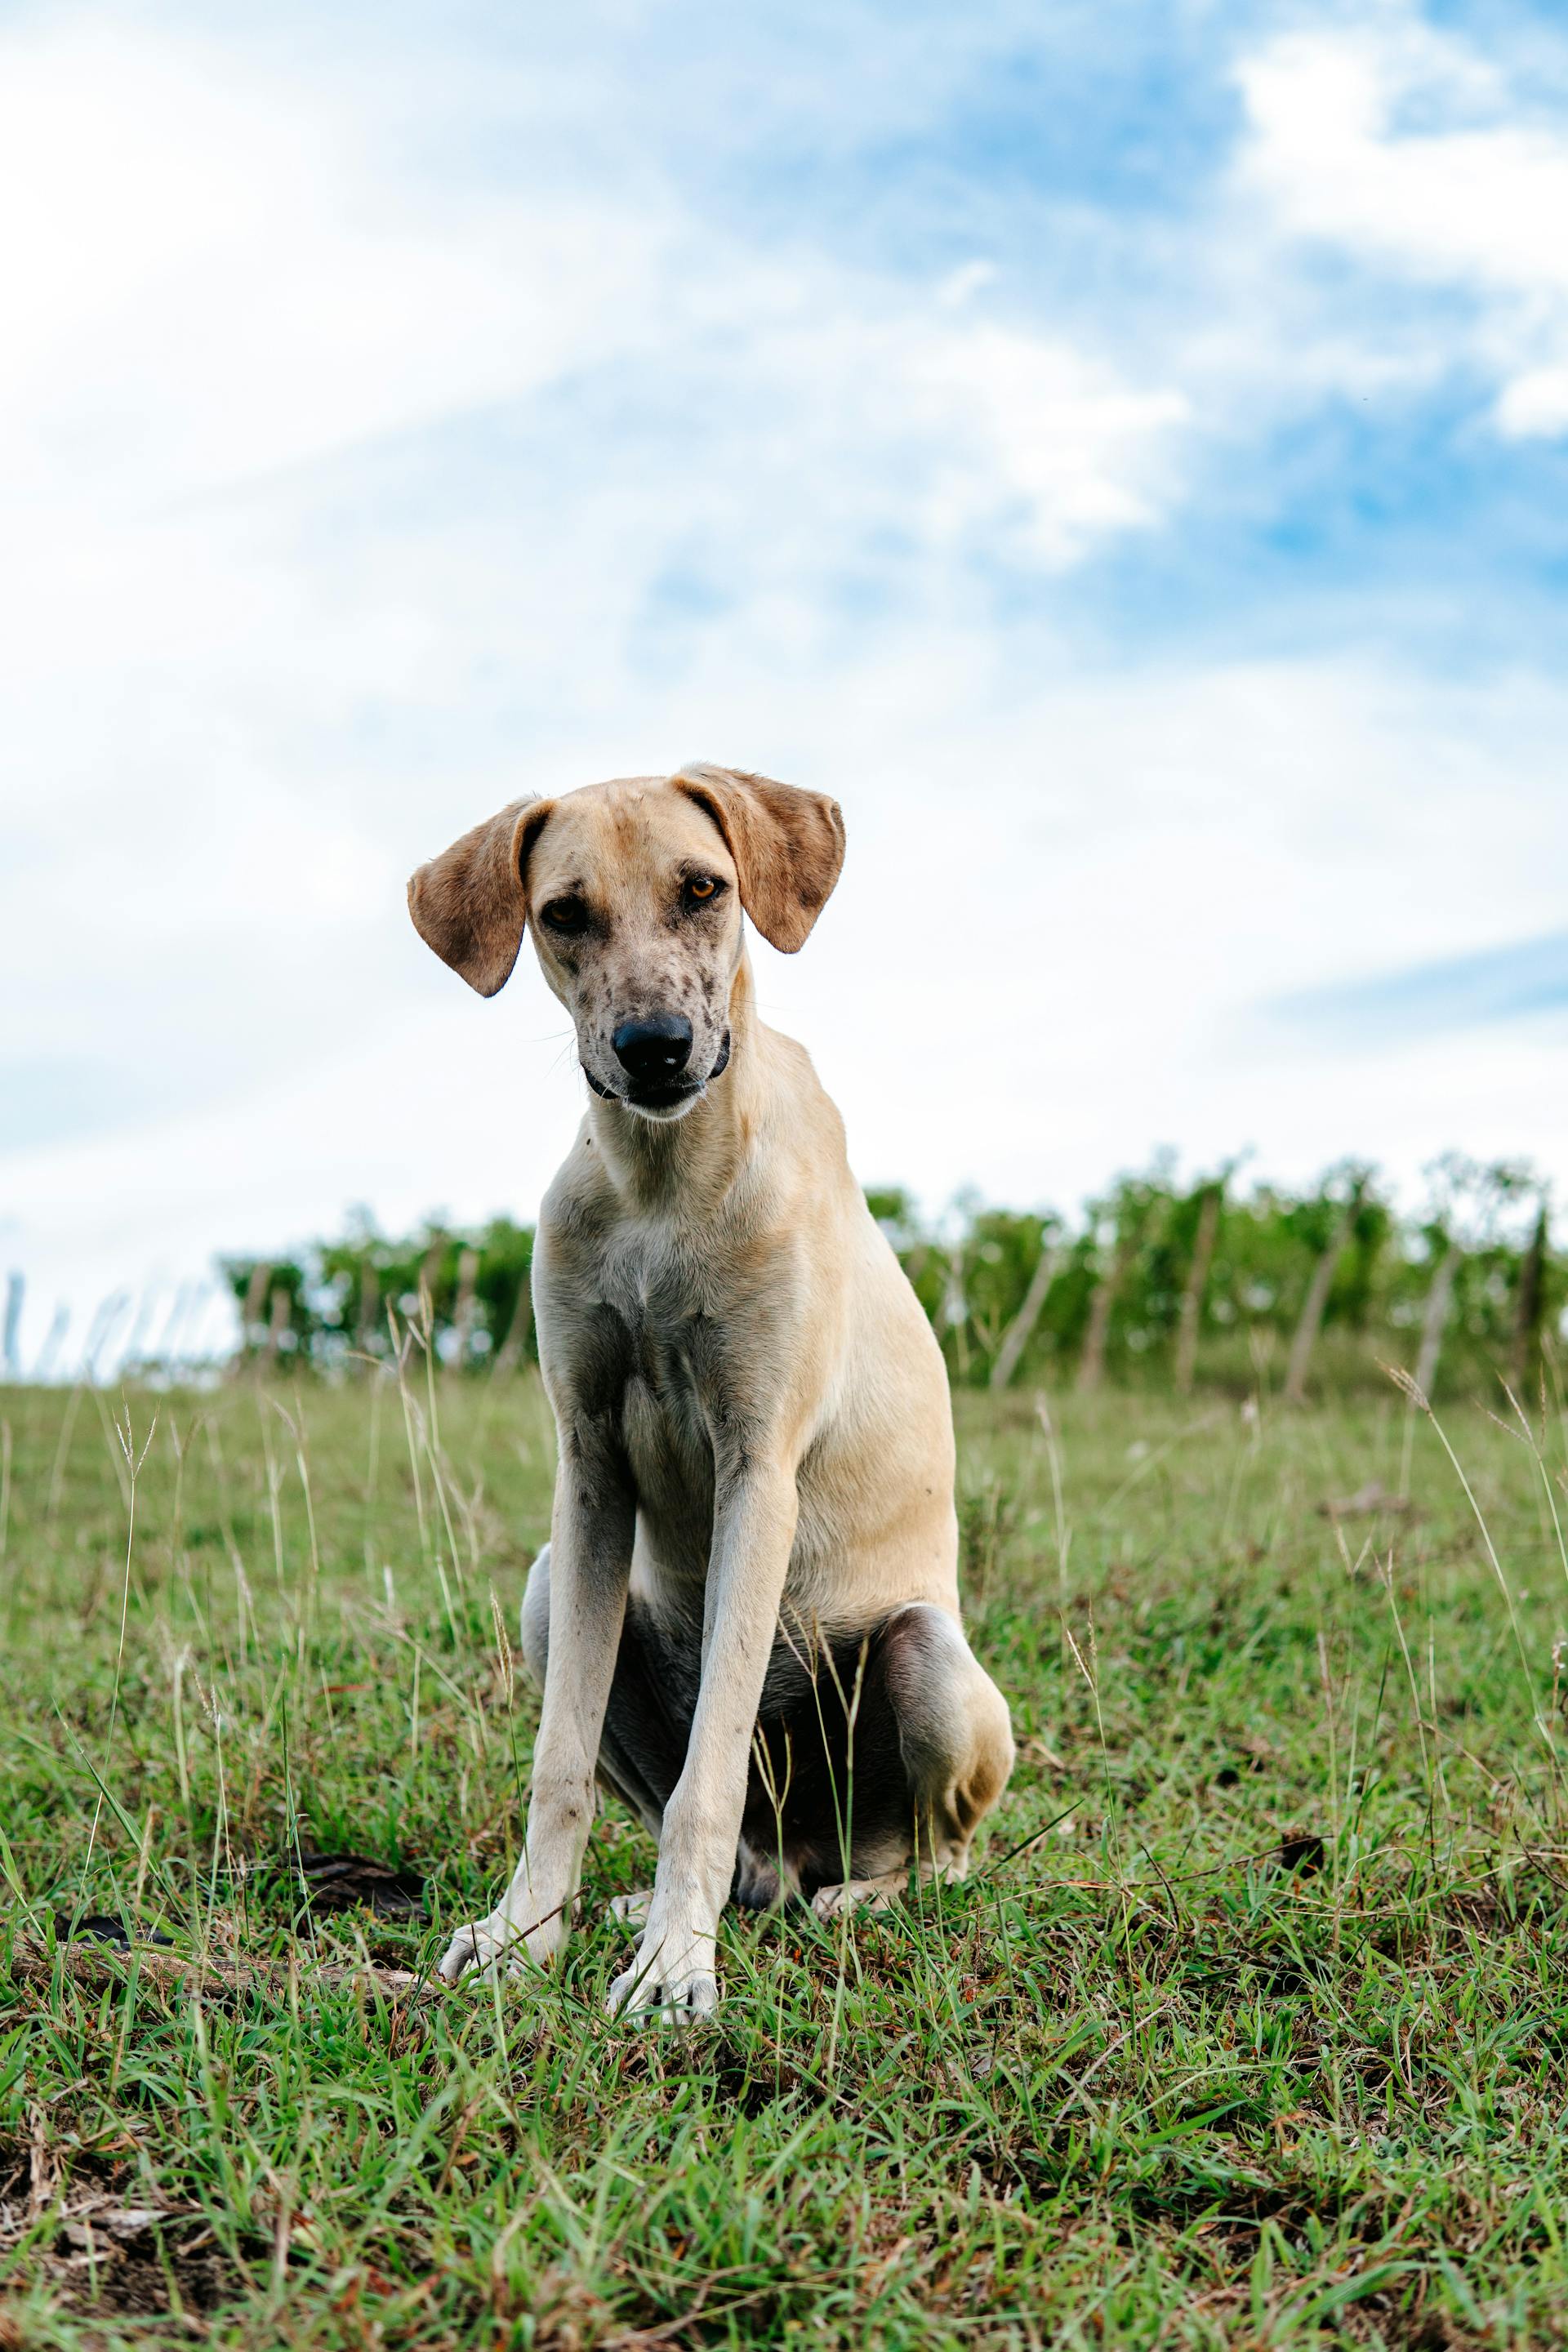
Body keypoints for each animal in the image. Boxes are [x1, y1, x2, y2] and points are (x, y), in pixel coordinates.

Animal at [411, 762, 1010, 2013]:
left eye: (703, 888)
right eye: (563, 912)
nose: (655, 1047)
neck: (661, 1186)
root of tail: (796, 1858)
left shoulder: (760, 1468)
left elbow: (711, 1766)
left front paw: (675, 1968)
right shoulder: (589, 1471)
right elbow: (557, 1761)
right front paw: (524, 1933)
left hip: (927, 1655)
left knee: (940, 1854)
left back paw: (861, 1898)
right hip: (545, 1595)